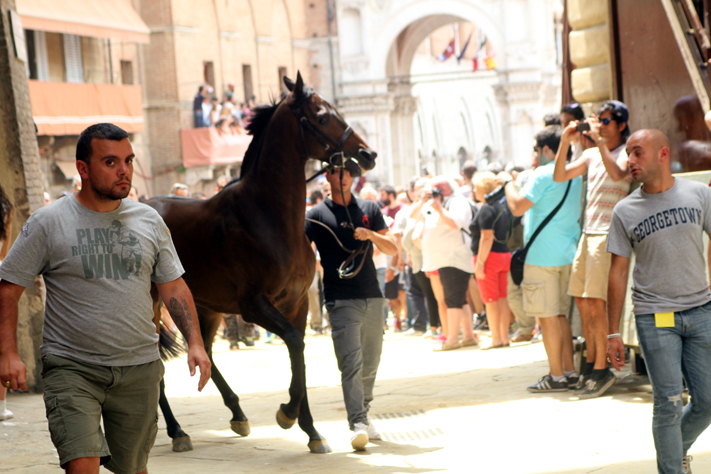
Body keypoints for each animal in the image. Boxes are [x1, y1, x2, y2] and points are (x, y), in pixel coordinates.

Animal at [147, 72, 376, 454]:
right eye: (322, 117)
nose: (367, 154)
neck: (269, 217)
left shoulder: (296, 303)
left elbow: (298, 350)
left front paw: (311, 430)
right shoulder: (253, 305)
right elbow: (295, 343)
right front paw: (287, 412)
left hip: (204, 306)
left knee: (205, 352)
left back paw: (237, 414)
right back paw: (177, 431)